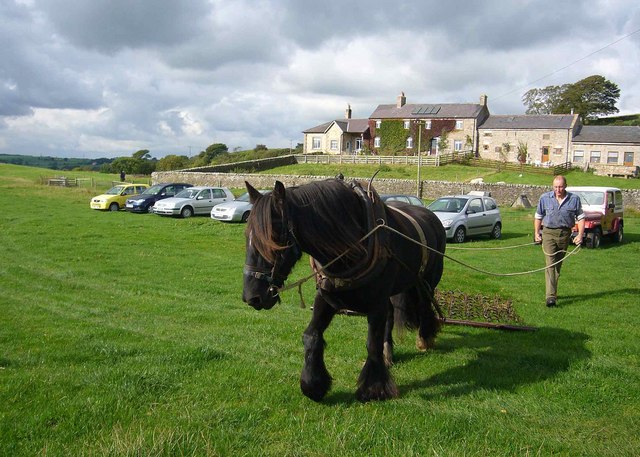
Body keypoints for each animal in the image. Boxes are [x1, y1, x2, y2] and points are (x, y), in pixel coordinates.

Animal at [242, 178, 446, 402]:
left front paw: (374, 388)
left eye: (274, 238)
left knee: (425, 305)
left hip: (426, 280)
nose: (251, 296)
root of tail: (430, 214)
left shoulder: (376, 304)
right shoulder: (326, 298)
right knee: (393, 314)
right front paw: (313, 384)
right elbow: (311, 335)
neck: (353, 246)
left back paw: (424, 338)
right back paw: (389, 351)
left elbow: (372, 344)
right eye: (247, 235)